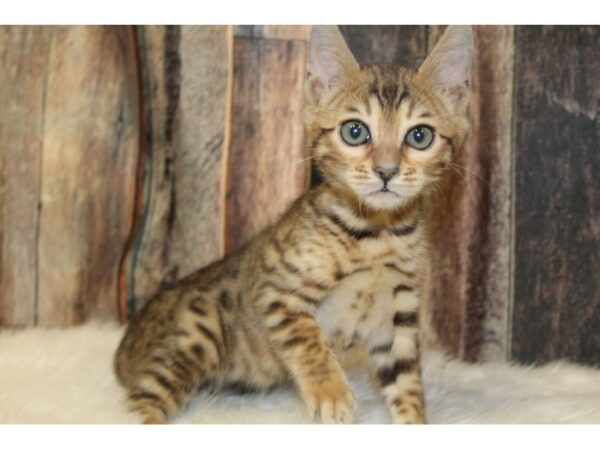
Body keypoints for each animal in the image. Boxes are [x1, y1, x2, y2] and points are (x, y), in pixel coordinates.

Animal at [113, 24, 474, 424]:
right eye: (355, 132)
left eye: (419, 136)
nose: (386, 171)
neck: (376, 235)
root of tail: (127, 343)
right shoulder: (274, 288)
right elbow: (307, 339)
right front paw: (331, 393)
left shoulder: (395, 319)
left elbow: (406, 386)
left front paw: (413, 420)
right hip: (194, 338)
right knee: (141, 403)